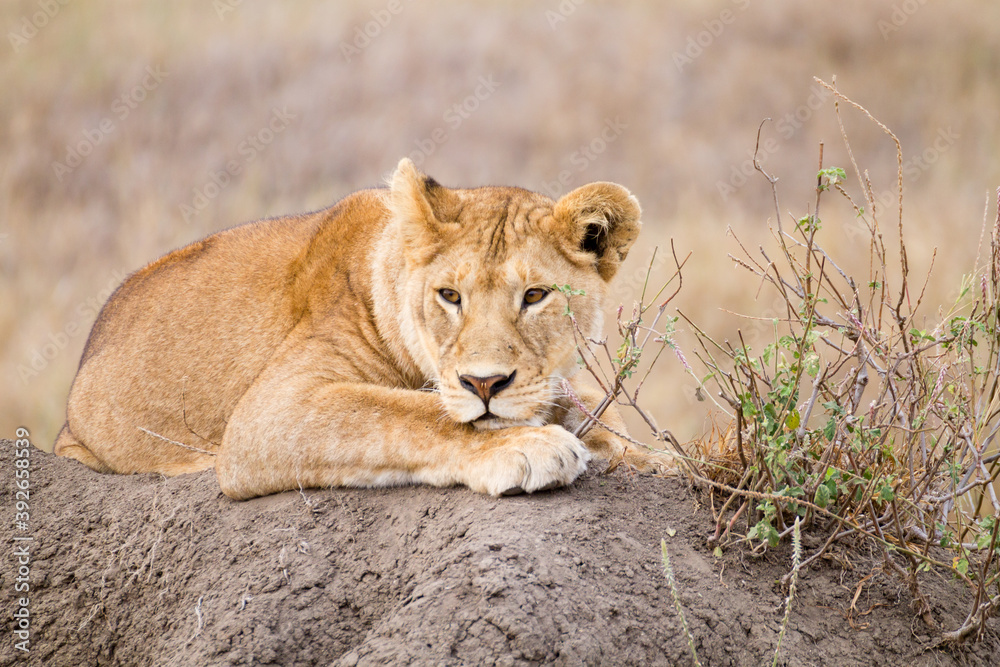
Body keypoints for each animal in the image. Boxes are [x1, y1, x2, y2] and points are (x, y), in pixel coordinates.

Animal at [55, 158, 671, 499]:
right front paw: (528, 444)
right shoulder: (270, 411)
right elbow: (406, 412)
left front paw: (649, 457)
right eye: (450, 296)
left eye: (536, 296)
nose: (485, 384)